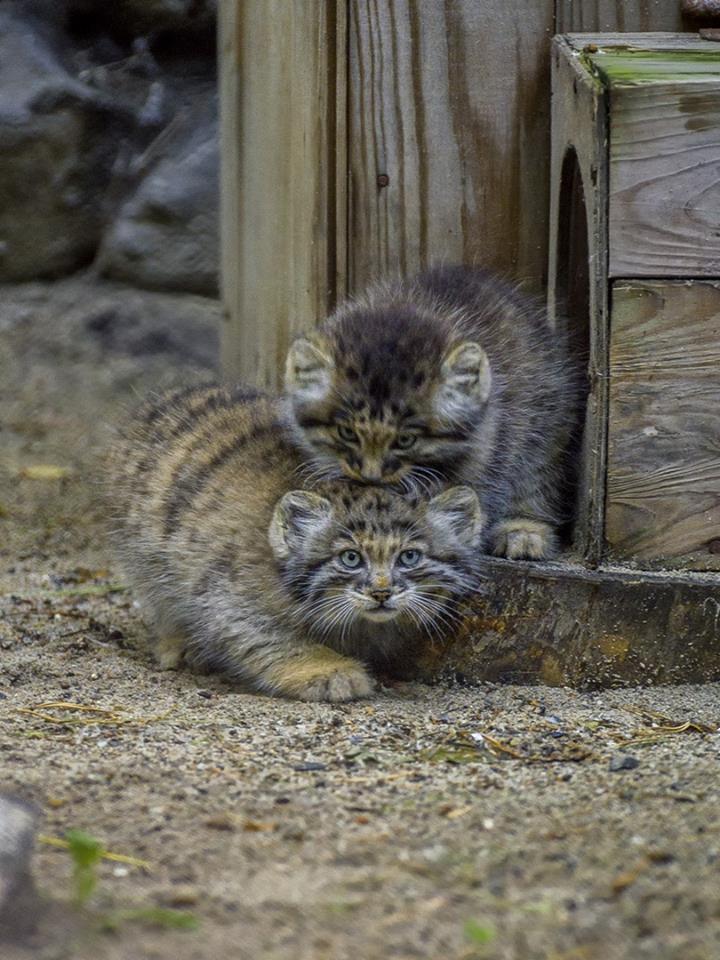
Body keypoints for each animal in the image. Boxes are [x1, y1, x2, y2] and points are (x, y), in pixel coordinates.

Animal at [111, 380, 484, 696]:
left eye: (409, 557)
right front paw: (329, 670)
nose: (381, 592)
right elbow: (270, 639)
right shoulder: (227, 597)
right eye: (350, 558)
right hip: (144, 554)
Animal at [282, 266, 580, 560]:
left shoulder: (486, 451)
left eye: (406, 440)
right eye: (346, 433)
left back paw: (525, 530)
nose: (371, 476)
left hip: (548, 422)